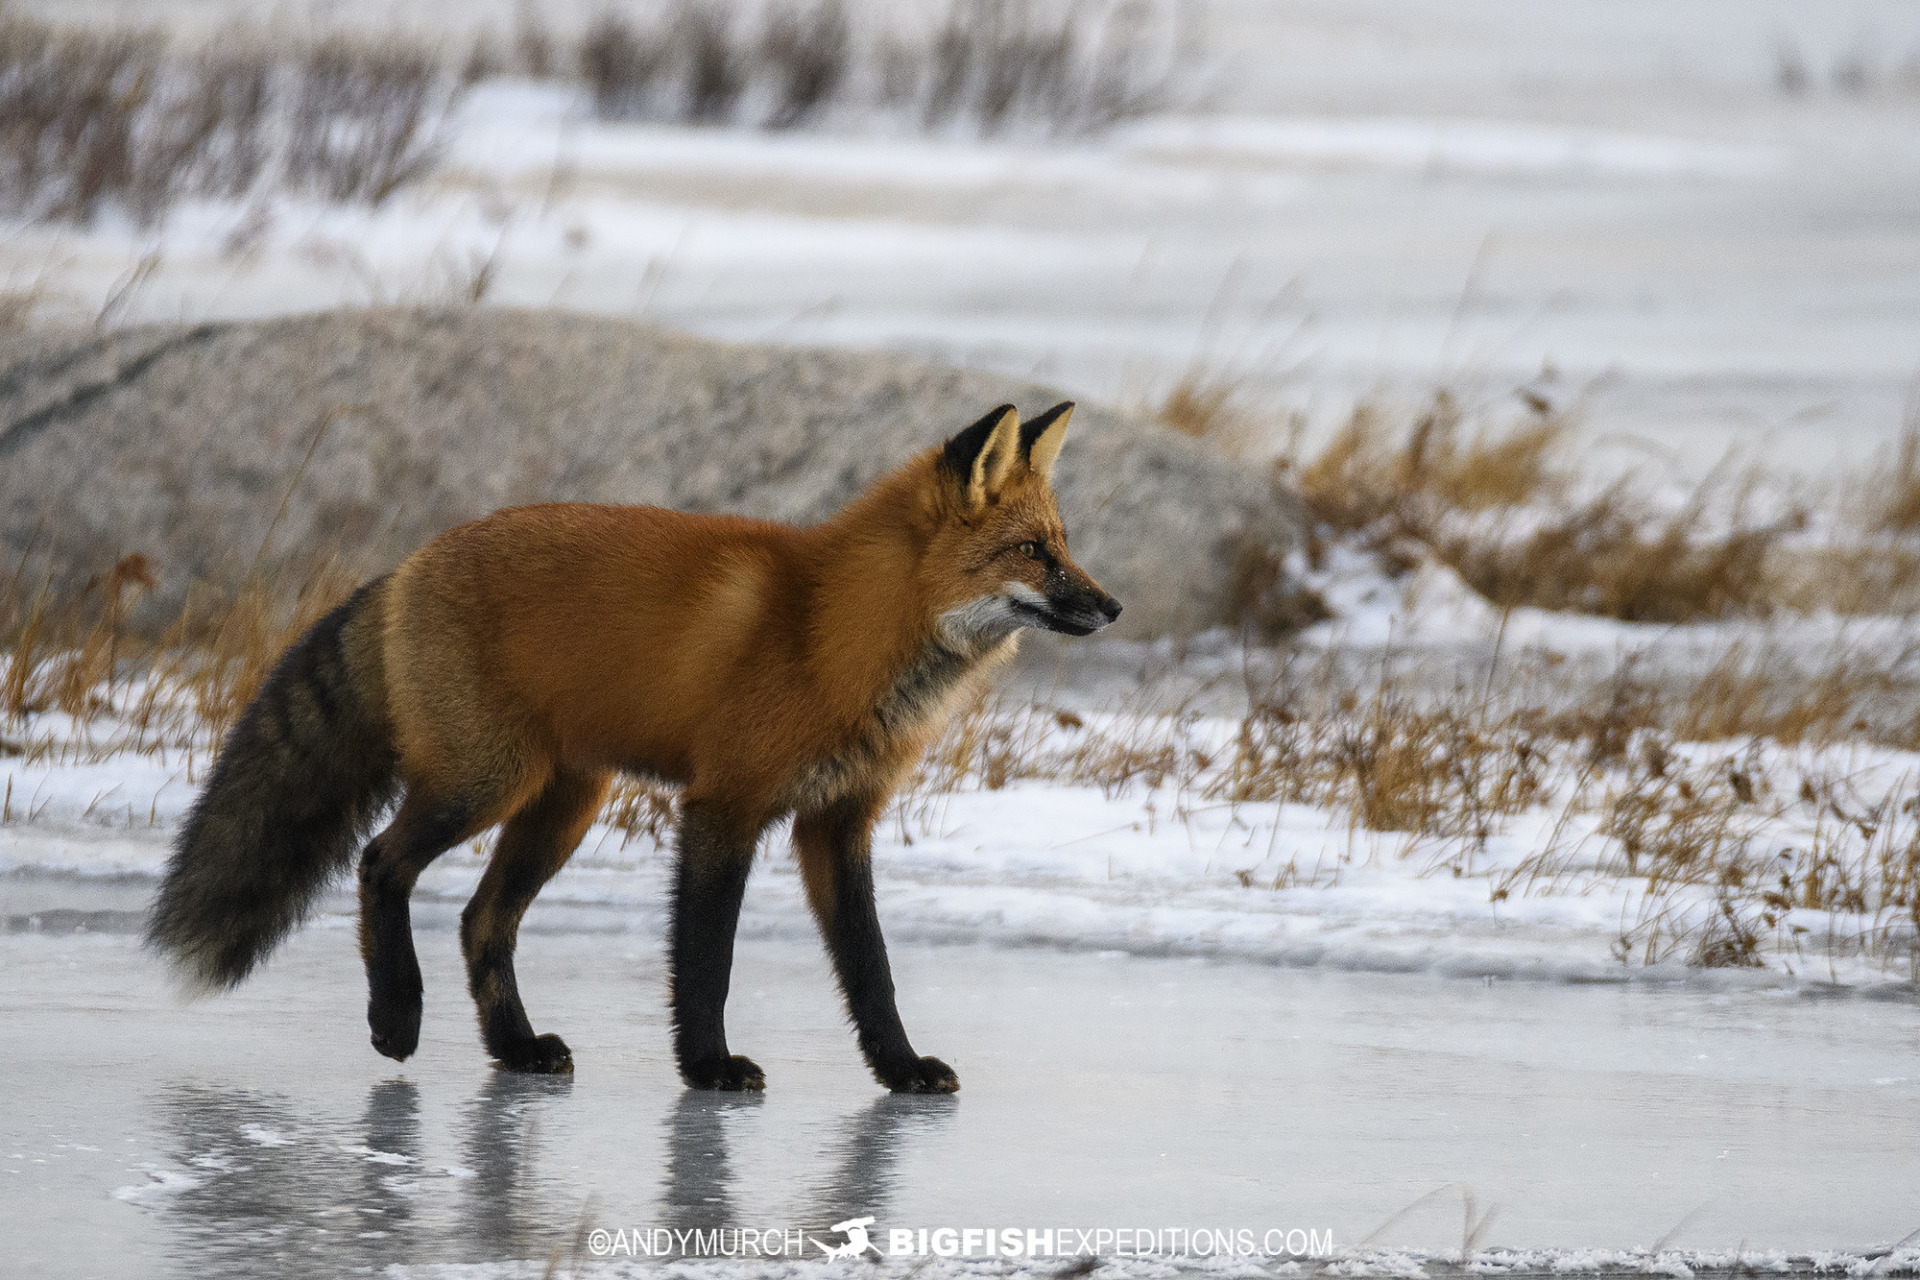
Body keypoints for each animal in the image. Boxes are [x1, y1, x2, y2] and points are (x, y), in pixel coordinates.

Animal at [153, 404, 1121, 1097]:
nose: (1112, 607)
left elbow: (871, 969)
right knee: (379, 863)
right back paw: (397, 1016)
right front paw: (709, 1069)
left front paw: (900, 1070)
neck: (835, 631)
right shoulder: (725, 805)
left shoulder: (838, 822)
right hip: (483, 784)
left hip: (563, 805)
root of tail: (408, 565)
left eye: (1065, 546)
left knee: (480, 920)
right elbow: (707, 960)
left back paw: (515, 1048)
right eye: (1032, 551)